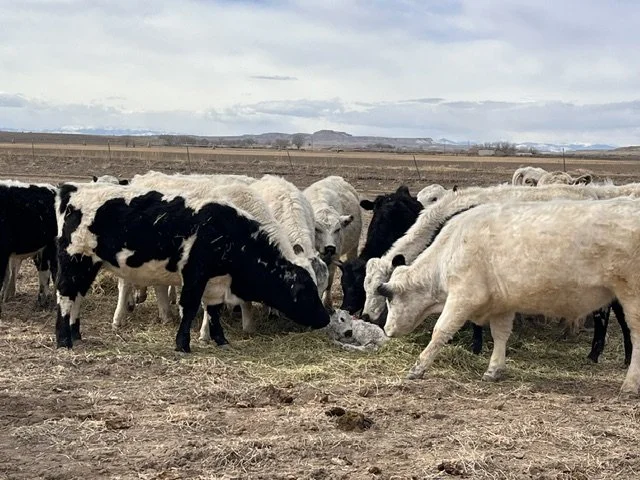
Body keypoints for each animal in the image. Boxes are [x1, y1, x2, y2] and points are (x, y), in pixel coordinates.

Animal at [54, 182, 329, 352]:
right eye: (305, 292)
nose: (326, 318)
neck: (227, 232)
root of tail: (71, 190)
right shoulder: (194, 275)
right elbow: (189, 308)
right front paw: (183, 344)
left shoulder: (217, 282)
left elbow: (214, 311)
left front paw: (220, 340)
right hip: (74, 261)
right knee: (66, 296)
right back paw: (63, 340)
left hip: (87, 267)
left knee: (77, 297)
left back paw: (76, 334)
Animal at [303, 176, 362, 308]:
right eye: (317, 229)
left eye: (337, 229)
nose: (330, 247)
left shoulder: (335, 257)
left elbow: (329, 282)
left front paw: (327, 303)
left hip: (353, 248)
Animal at [379, 198, 640, 395]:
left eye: (390, 300)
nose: (387, 330)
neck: (450, 250)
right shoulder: (501, 305)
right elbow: (500, 335)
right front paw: (494, 369)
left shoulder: (463, 297)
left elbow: (441, 331)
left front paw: (418, 367)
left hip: (632, 297)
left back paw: (630, 384)